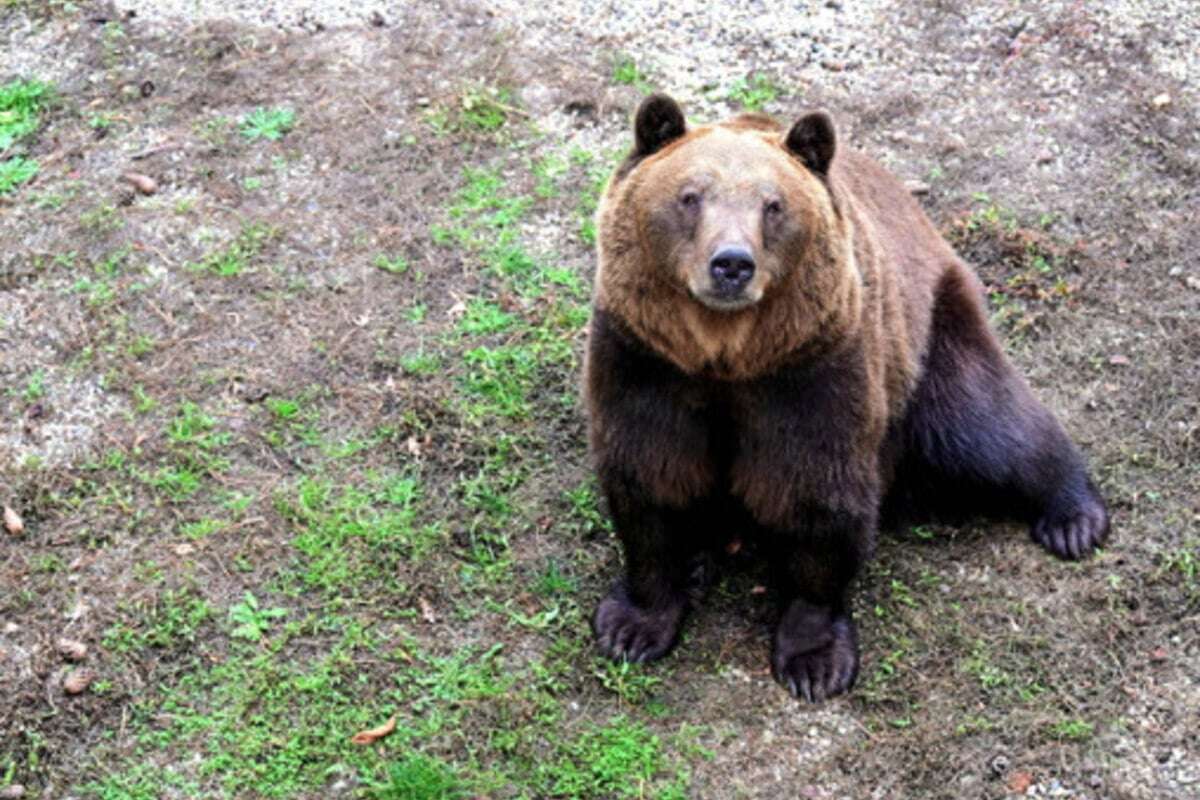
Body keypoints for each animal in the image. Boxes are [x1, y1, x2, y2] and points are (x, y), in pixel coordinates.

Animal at [580, 94, 1104, 705]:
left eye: (773, 205)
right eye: (690, 196)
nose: (732, 263)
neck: (725, 355)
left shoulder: (811, 373)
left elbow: (817, 499)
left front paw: (814, 660)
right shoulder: (646, 362)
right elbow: (651, 477)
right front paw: (633, 626)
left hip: (928, 340)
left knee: (984, 428)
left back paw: (1073, 517)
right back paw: (699, 562)